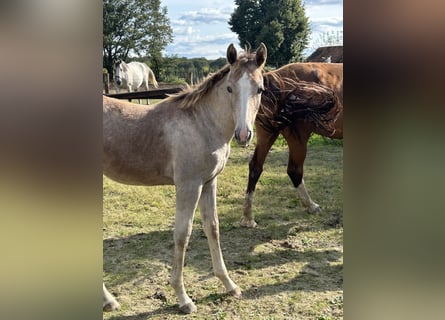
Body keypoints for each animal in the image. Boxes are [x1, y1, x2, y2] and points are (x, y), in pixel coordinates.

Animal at [241, 62, 342, 228]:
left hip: (267, 134)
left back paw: (248, 217)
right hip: (298, 138)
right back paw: (311, 206)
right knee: (294, 170)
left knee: (255, 167)